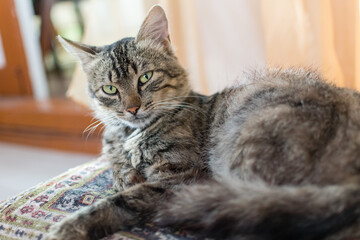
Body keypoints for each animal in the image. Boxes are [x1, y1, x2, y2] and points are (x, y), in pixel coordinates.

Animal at [48, 4, 360, 240]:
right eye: (110, 89)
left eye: (145, 78)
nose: (132, 108)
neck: (130, 135)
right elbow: (118, 170)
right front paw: (126, 174)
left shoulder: (180, 177)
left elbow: (118, 202)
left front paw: (68, 228)